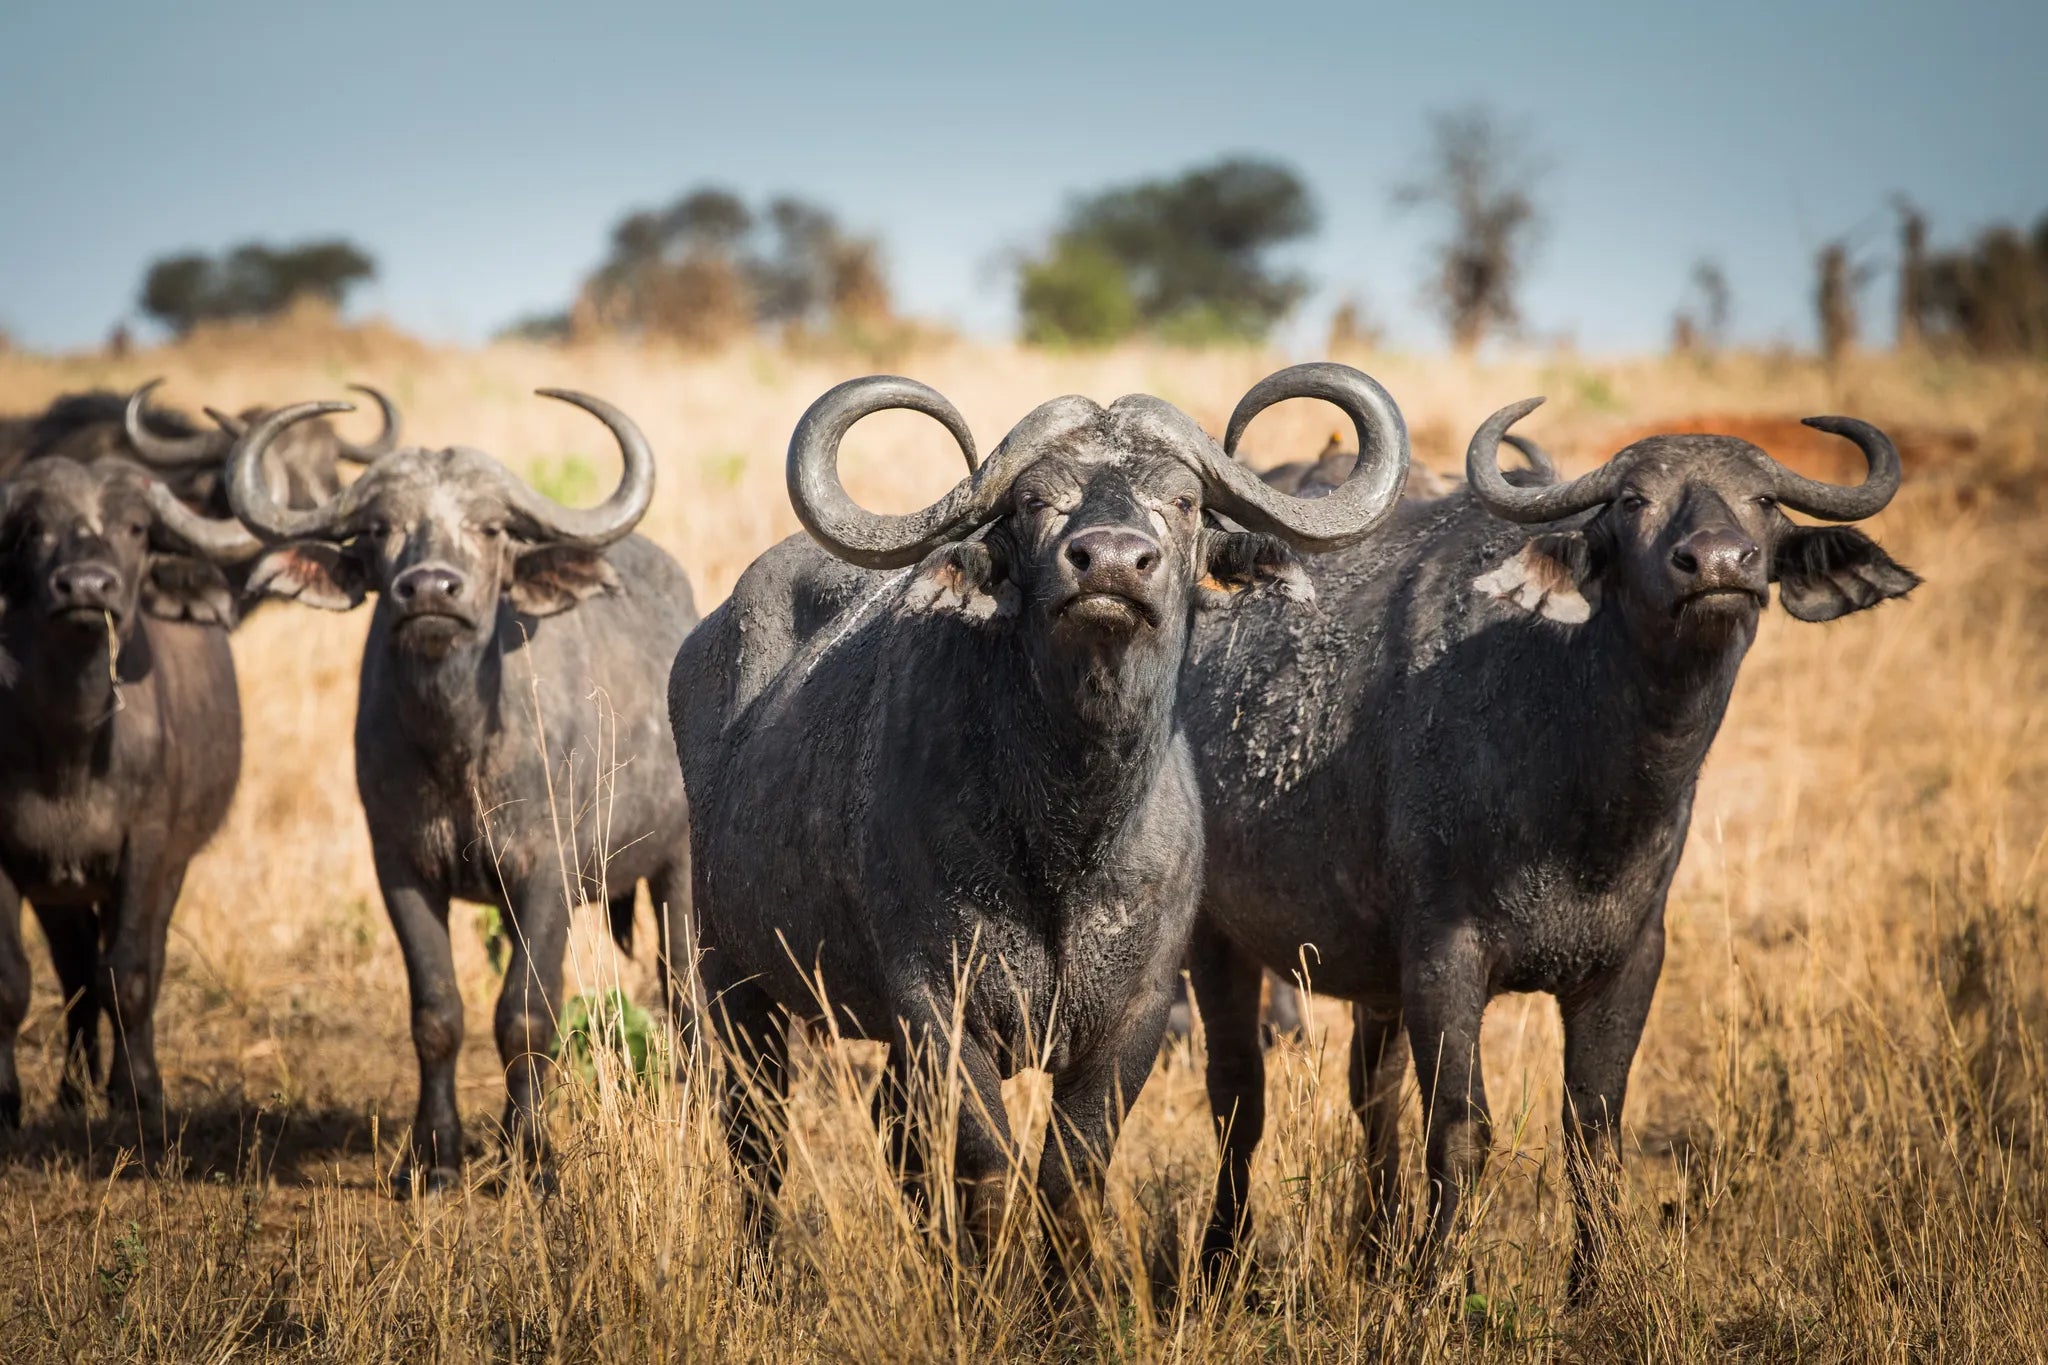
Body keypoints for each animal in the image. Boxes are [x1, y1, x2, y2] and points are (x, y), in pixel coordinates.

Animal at [0, 456, 259, 1125]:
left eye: (137, 529)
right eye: (33, 529)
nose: (88, 588)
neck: (73, 747)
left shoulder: (146, 848)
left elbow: (129, 975)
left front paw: (136, 1093)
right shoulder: (9, 857)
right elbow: (13, 981)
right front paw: (7, 1098)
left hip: (168, 868)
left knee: (133, 962)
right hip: (60, 890)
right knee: (73, 970)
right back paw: (72, 1090)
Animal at [225, 394, 696, 1189]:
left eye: (491, 527)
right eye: (379, 528)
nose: (429, 590)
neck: (459, 745)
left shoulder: (546, 873)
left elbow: (528, 1013)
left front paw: (532, 1154)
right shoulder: (400, 868)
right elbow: (437, 1012)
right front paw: (433, 1156)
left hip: (680, 865)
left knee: (686, 986)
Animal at [668, 364, 1409, 1268]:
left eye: (1184, 500)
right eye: (1032, 501)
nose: (1112, 563)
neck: (1067, 835)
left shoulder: (1133, 1017)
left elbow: (1069, 1177)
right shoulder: (938, 1006)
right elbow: (986, 1171)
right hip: (731, 978)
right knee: (758, 1137)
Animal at [1180, 400, 1918, 1297]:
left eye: (1765, 501)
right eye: (1633, 500)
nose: (1716, 564)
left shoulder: (1629, 960)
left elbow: (1593, 1130)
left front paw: (1596, 1284)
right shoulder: (1444, 957)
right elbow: (1461, 1127)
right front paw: (1438, 1282)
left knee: (1369, 1090)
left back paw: (1376, 1244)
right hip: (1216, 940)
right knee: (1237, 1095)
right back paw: (1222, 1259)